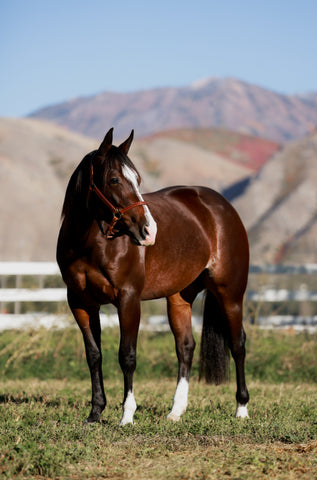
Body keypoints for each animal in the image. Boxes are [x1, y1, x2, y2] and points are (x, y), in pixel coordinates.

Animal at [56, 127, 249, 424]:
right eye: (114, 179)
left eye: (137, 179)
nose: (149, 231)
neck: (89, 245)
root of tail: (221, 206)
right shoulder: (80, 302)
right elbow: (94, 355)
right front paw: (95, 412)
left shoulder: (128, 299)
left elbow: (127, 356)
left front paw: (127, 415)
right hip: (179, 297)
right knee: (185, 347)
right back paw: (176, 411)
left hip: (230, 294)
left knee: (237, 344)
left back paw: (241, 408)